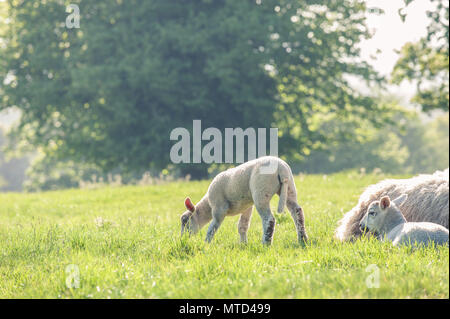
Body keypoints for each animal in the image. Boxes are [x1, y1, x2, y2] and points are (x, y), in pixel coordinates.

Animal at [179, 157, 310, 245]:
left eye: (185, 220)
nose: (183, 239)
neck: (208, 205)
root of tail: (281, 168)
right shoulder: (246, 206)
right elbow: (242, 225)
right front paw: (243, 244)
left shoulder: (219, 208)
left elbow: (212, 228)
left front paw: (206, 244)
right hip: (290, 188)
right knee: (297, 212)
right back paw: (302, 239)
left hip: (261, 193)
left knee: (269, 219)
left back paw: (266, 243)